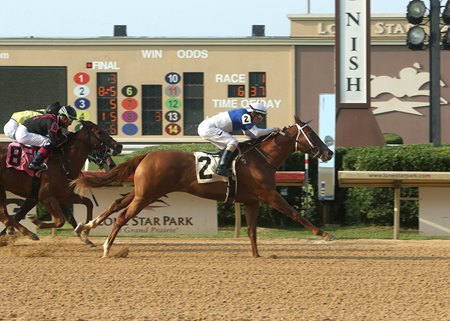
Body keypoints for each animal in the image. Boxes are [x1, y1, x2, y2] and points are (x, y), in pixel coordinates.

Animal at [73, 116, 334, 256]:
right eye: (311, 133)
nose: (328, 152)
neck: (261, 158)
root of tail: (147, 154)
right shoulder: (269, 195)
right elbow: (295, 214)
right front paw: (324, 234)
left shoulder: (252, 201)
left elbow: (251, 231)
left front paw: (257, 255)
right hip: (146, 195)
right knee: (122, 216)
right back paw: (106, 247)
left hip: (143, 192)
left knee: (117, 203)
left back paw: (86, 227)